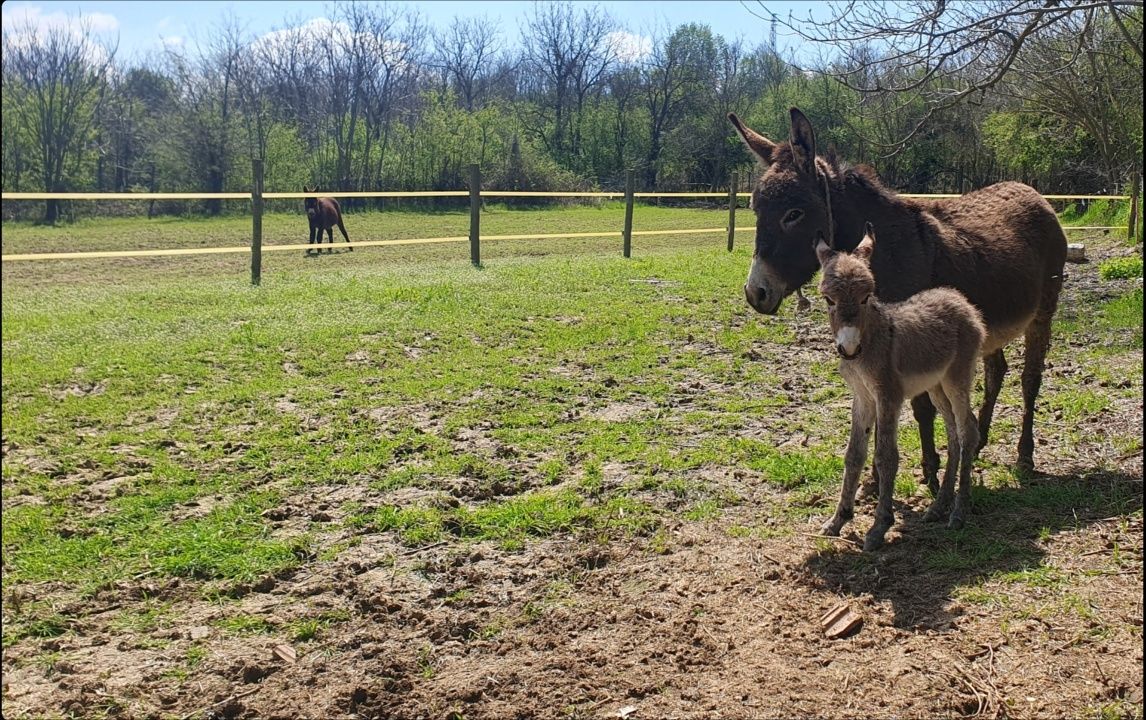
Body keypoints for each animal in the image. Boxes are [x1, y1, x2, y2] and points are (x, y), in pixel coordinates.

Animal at [728, 106, 1068, 488]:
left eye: (793, 214)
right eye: (756, 211)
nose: (755, 293)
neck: (883, 254)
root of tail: (1031, 191)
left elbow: (922, 407)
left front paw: (930, 470)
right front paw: (879, 479)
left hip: (1043, 312)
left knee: (1030, 379)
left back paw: (1025, 455)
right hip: (990, 323)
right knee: (997, 373)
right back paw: (979, 441)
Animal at [820, 225, 990, 550]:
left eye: (867, 296)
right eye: (828, 300)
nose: (849, 348)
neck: (871, 340)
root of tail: (959, 300)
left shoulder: (889, 396)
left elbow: (886, 457)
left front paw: (879, 527)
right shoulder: (862, 398)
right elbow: (854, 455)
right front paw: (838, 519)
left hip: (957, 377)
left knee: (968, 432)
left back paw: (958, 512)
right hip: (936, 385)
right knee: (954, 434)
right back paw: (939, 505)